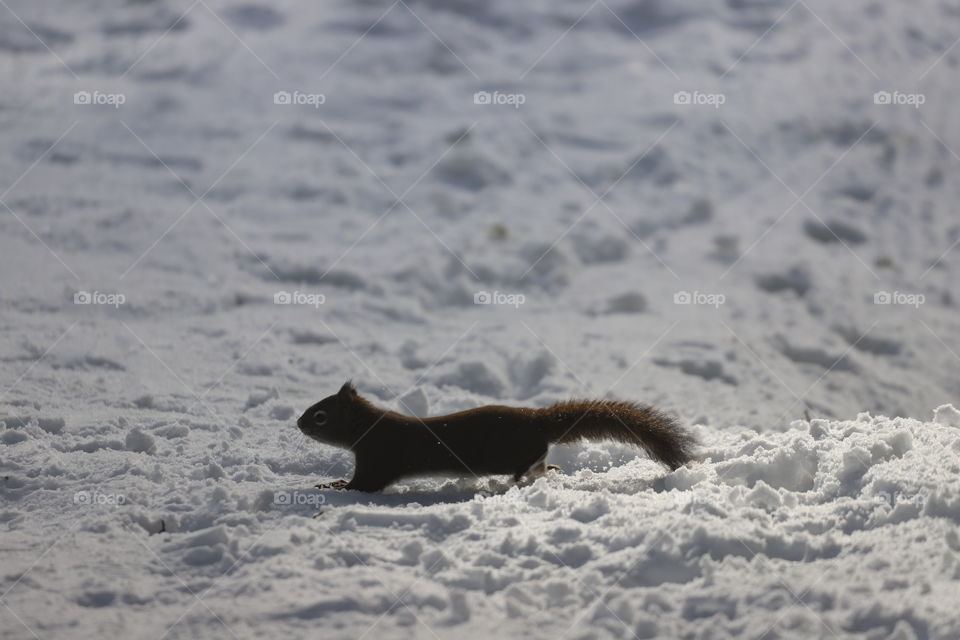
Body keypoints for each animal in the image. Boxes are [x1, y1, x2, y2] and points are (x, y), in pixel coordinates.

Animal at [300, 382, 696, 492]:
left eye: (320, 416)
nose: (299, 423)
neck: (369, 427)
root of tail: (536, 421)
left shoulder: (378, 458)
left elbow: (364, 485)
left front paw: (335, 486)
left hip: (513, 451)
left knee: (529, 462)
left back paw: (521, 476)